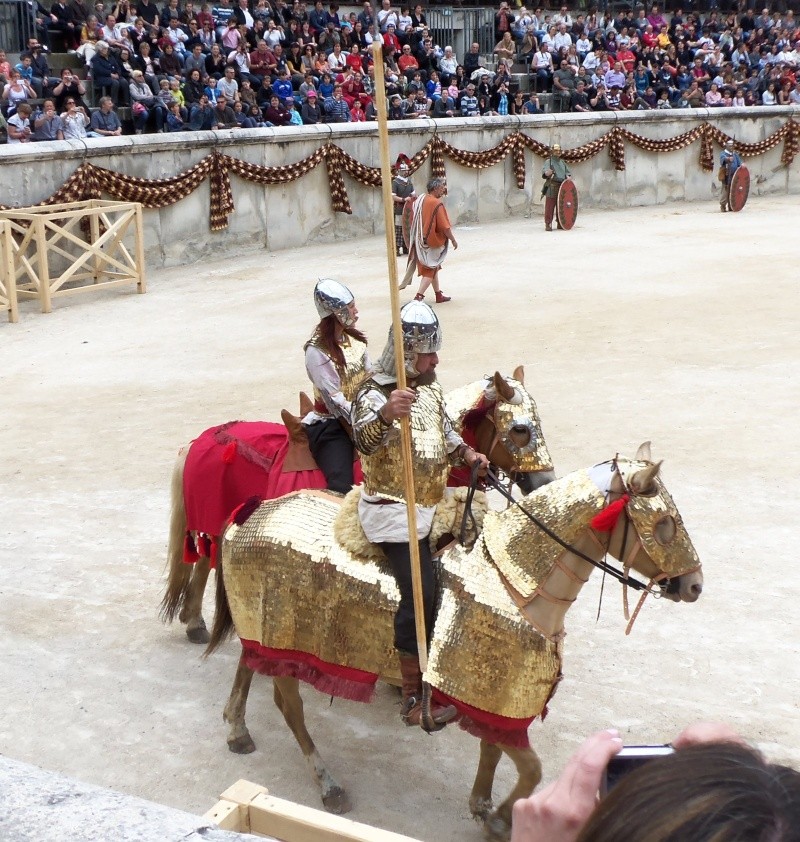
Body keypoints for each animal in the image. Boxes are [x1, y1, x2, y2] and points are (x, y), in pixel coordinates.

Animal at [159, 368, 552, 644]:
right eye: (520, 429)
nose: (544, 482)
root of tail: (199, 441)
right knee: (203, 563)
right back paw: (195, 622)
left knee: (204, 563)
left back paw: (194, 620)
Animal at [208, 442, 708, 836]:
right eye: (664, 523)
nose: (695, 586)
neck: (515, 583)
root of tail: (254, 510)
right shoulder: (487, 693)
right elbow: (531, 770)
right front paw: (502, 818)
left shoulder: (498, 699)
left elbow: (492, 750)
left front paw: (483, 805)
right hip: (280, 633)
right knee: (288, 704)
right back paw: (328, 783)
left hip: (260, 623)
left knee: (247, 664)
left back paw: (236, 726)